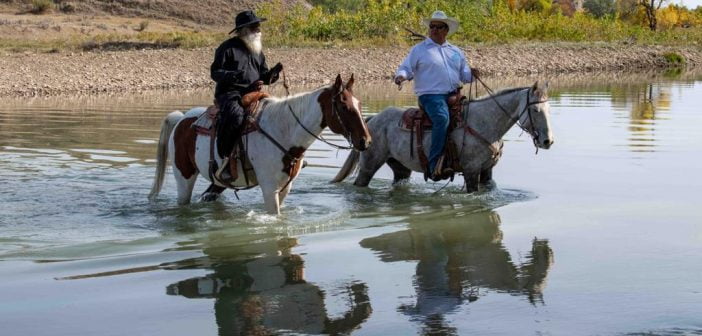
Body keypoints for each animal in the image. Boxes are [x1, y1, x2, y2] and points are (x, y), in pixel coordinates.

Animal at [146, 74, 372, 214]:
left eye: (359, 104)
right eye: (344, 106)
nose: (366, 141)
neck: (283, 131)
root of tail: (181, 119)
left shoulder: (285, 188)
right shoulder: (269, 188)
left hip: (218, 181)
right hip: (184, 177)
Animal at [332, 81, 560, 192]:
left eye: (549, 109)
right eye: (536, 110)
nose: (547, 141)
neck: (484, 123)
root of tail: (372, 120)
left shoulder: (487, 171)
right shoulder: (471, 171)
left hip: (400, 168)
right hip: (369, 166)